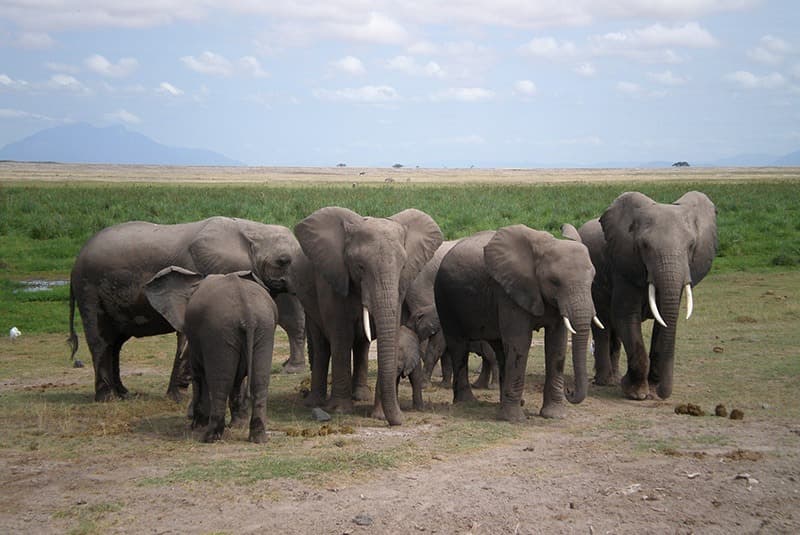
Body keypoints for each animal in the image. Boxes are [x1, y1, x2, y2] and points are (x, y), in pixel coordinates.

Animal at [68, 216, 302, 402]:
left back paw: (124, 394)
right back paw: (107, 398)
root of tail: (75, 263)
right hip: (88, 288)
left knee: (115, 342)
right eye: (283, 261)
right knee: (100, 339)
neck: (253, 229)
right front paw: (179, 398)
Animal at [144, 267, 277, 443]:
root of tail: (247, 312)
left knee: (219, 384)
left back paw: (209, 437)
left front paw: (197, 425)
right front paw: (237, 425)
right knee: (259, 382)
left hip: (218, 330)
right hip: (264, 327)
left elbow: (199, 375)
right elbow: (238, 380)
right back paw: (258, 439)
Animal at [292, 207, 443, 426]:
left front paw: (379, 415)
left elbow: (391, 331)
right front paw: (340, 410)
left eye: (403, 266)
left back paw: (361, 396)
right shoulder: (334, 278)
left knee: (362, 345)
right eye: (360, 266)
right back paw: (315, 402)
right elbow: (341, 337)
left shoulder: (401, 287)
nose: (400, 420)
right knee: (322, 344)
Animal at [434, 225, 601, 421]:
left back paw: (504, 404)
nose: (569, 391)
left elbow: (557, 344)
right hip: (445, 298)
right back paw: (467, 402)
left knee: (500, 350)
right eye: (554, 281)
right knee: (459, 346)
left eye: (592, 280)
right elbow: (520, 342)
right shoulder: (509, 291)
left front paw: (554, 415)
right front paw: (514, 419)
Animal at [564, 191, 717, 400]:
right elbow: (626, 317)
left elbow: (665, 321)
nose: (661, 394)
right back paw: (606, 381)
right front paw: (636, 393)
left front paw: (652, 386)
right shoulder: (624, 266)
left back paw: (613, 378)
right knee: (603, 324)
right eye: (644, 245)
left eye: (691, 245)